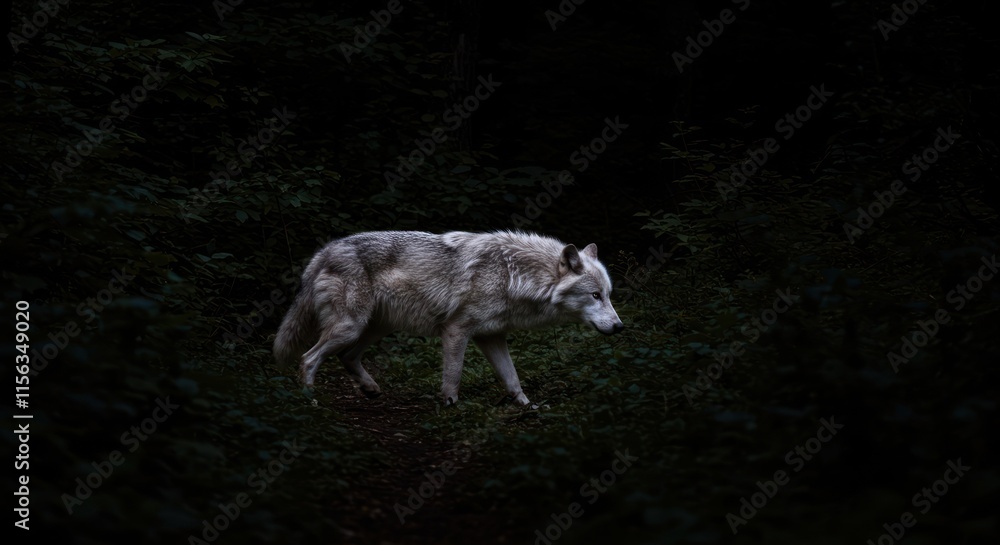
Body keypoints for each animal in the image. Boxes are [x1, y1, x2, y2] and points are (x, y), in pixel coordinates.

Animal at [273, 230, 624, 406]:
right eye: (595, 296)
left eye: (608, 294)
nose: (620, 327)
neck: (513, 275)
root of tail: (322, 253)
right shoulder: (456, 331)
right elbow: (452, 377)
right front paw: (451, 406)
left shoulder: (492, 336)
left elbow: (512, 379)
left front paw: (528, 408)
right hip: (350, 327)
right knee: (308, 358)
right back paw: (311, 403)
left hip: (374, 328)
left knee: (346, 357)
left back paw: (370, 390)